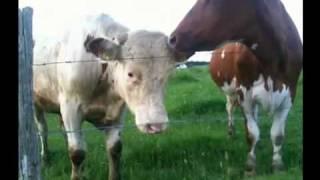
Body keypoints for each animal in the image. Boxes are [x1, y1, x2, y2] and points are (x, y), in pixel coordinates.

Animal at [33, 14, 188, 180]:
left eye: (170, 74)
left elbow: (114, 148)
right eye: (130, 74)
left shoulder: (118, 112)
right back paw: (45, 158)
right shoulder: (70, 107)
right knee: (43, 129)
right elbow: (77, 152)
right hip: (36, 104)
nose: (156, 124)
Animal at [169, 0, 304, 175]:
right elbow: (252, 133)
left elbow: (278, 134)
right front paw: (250, 167)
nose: (172, 39)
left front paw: (277, 165)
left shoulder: (289, 95)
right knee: (229, 108)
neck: (271, 62)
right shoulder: (244, 94)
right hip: (230, 91)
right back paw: (231, 132)